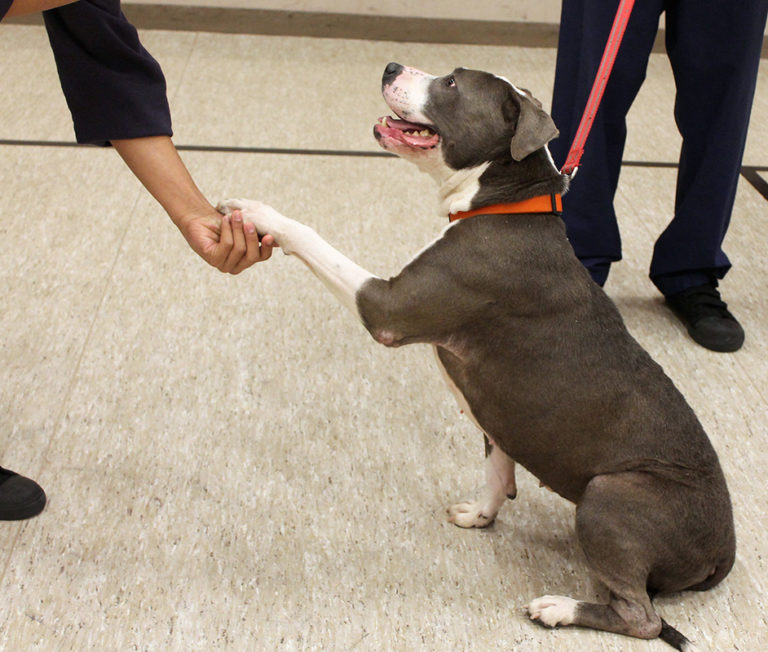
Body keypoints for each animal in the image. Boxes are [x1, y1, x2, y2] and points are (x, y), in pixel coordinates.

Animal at [219, 63, 736, 648]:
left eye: (451, 83)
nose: (391, 66)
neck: (506, 201)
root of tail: (724, 552)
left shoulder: (386, 307)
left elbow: (313, 239)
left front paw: (259, 213)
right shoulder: (498, 411)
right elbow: (496, 464)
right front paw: (482, 514)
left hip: (610, 496)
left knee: (641, 616)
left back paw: (559, 608)